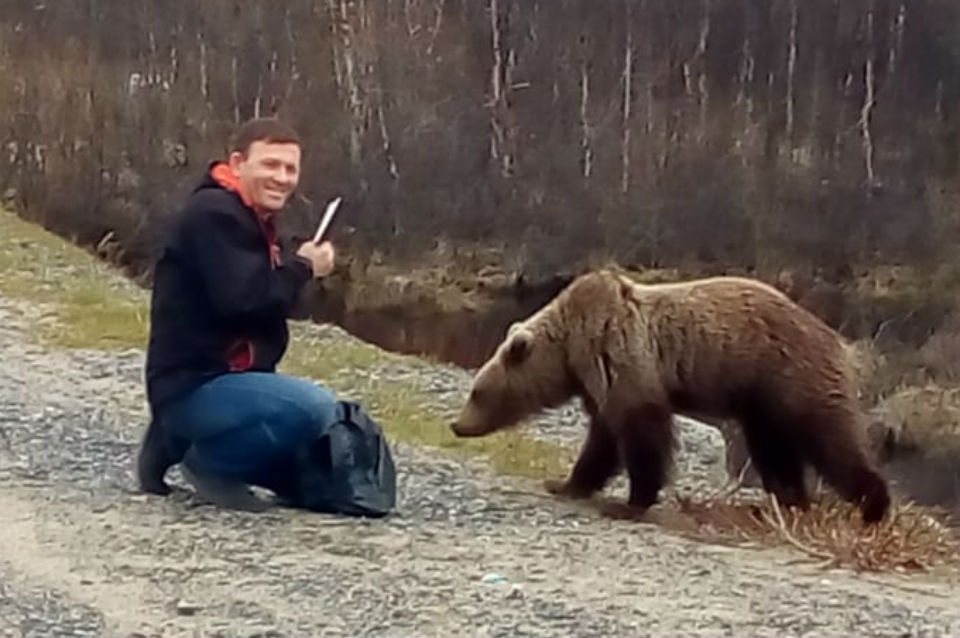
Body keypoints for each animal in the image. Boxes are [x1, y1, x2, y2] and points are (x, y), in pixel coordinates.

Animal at [450, 268, 892, 524]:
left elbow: (640, 433)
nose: (456, 425)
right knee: (773, 449)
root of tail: (840, 340)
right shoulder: (598, 380)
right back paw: (785, 502)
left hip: (789, 376)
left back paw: (873, 506)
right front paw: (565, 483)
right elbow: (602, 440)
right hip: (763, 402)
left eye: (477, 391)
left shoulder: (622, 359)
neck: (570, 350)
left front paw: (629, 502)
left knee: (831, 440)